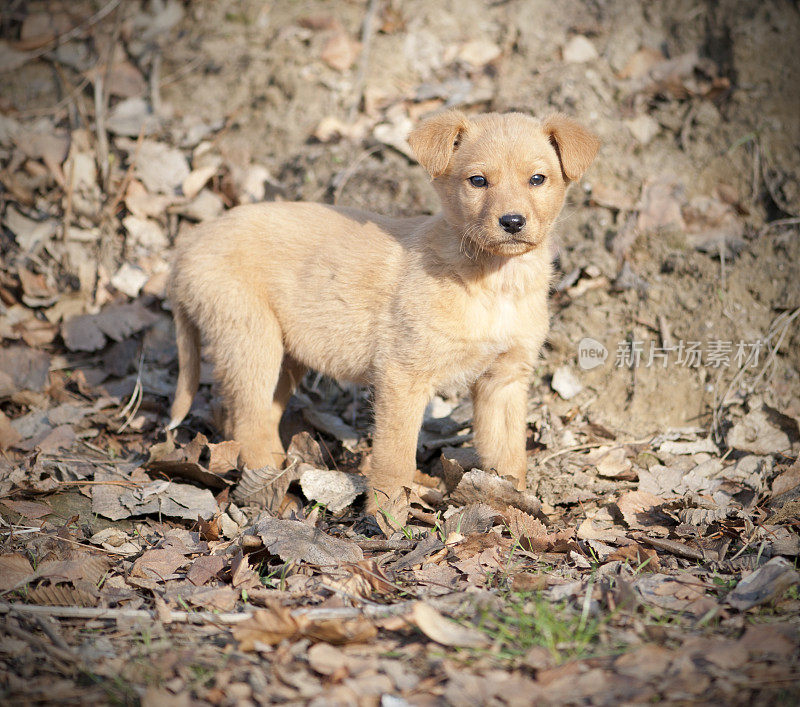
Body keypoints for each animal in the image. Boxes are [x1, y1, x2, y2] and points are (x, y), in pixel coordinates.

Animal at [166, 110, 596, 506]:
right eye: (478, 181)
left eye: (537, 179)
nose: (512, 222)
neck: (495, 282)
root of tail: (187, 246)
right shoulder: (402, 376)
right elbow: (395, 460)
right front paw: (388, 518)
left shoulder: (504, 379)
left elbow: (508, 455)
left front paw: (511, 504)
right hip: (252, 339)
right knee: (249, 424)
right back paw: (272, 489)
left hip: (286, 354)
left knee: (244, 416)